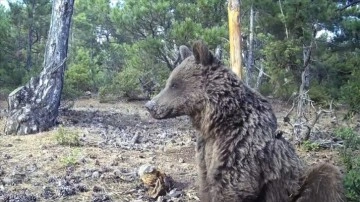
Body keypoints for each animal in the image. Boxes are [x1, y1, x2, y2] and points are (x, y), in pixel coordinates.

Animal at [145, 40, 344, 201]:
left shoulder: (238, 145)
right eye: (169, 82)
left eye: (174, 85)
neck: (217, 122)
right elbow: (206, 182)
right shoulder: (206, 148)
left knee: (326, 176)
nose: (150, 105)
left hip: (299, 183)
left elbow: (231, 185)